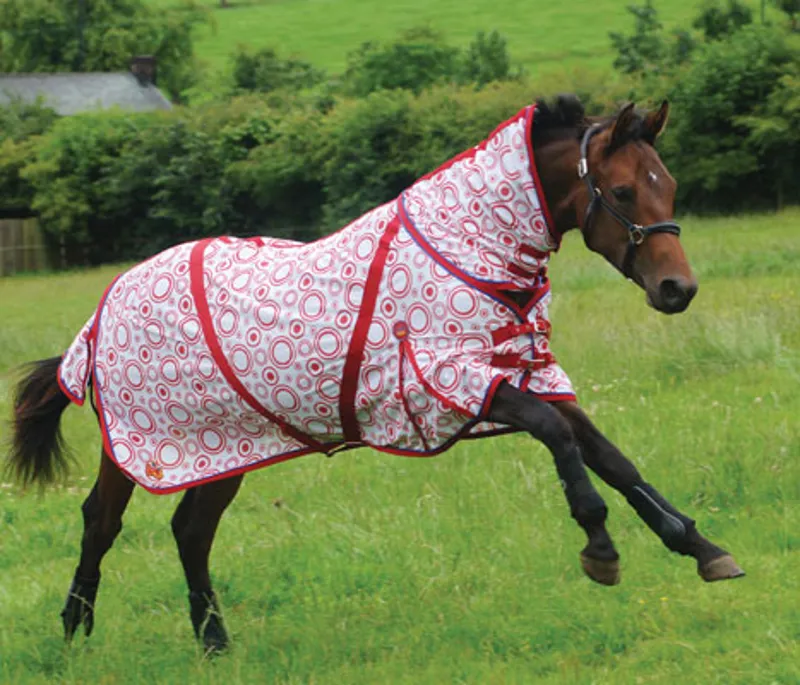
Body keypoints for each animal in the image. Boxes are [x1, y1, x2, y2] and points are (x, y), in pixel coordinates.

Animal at [7, 95, 745, 654]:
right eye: (621, 190)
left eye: (669, 186)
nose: (678, 289)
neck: (469, 250)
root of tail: (98, 315)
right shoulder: (452, 385)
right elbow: (561, 442)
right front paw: (600, 547)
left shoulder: (525, 374)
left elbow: (612, 457)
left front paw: (700, 546)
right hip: (141, 447)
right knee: (101, 521)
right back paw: (73, 632)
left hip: (225, 446)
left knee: (191, 530)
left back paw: (214, 641)